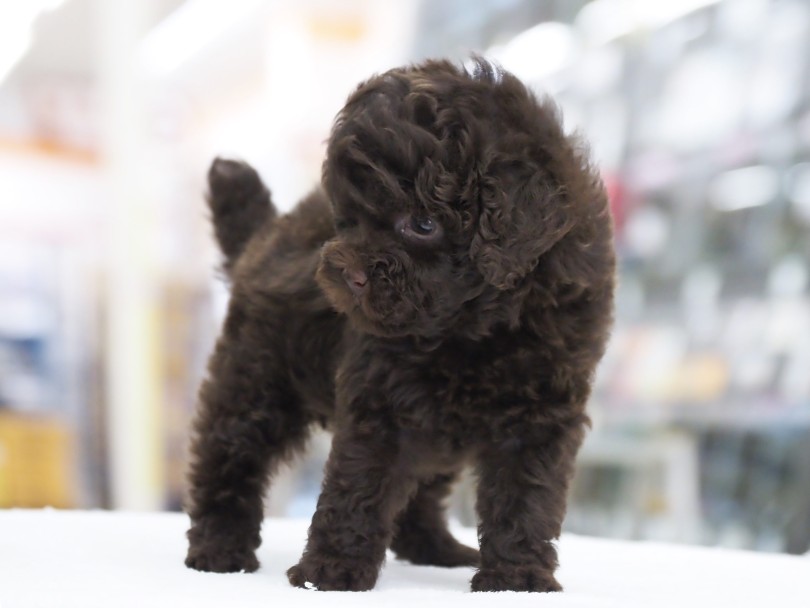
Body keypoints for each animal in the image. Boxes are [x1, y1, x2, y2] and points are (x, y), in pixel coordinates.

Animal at [183, 59, 612, 592]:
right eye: (348, 220)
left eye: (423, 224)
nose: (346, 272)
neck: (475, 327)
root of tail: (263, 235)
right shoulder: (380, 397)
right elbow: (359, 481)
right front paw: (331, 568)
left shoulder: (541, 412)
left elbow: (525, 493)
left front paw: (516, 577)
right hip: (255, 375)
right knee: (229, 454)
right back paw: (218, 548)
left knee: (423, 488)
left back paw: (435, 548)